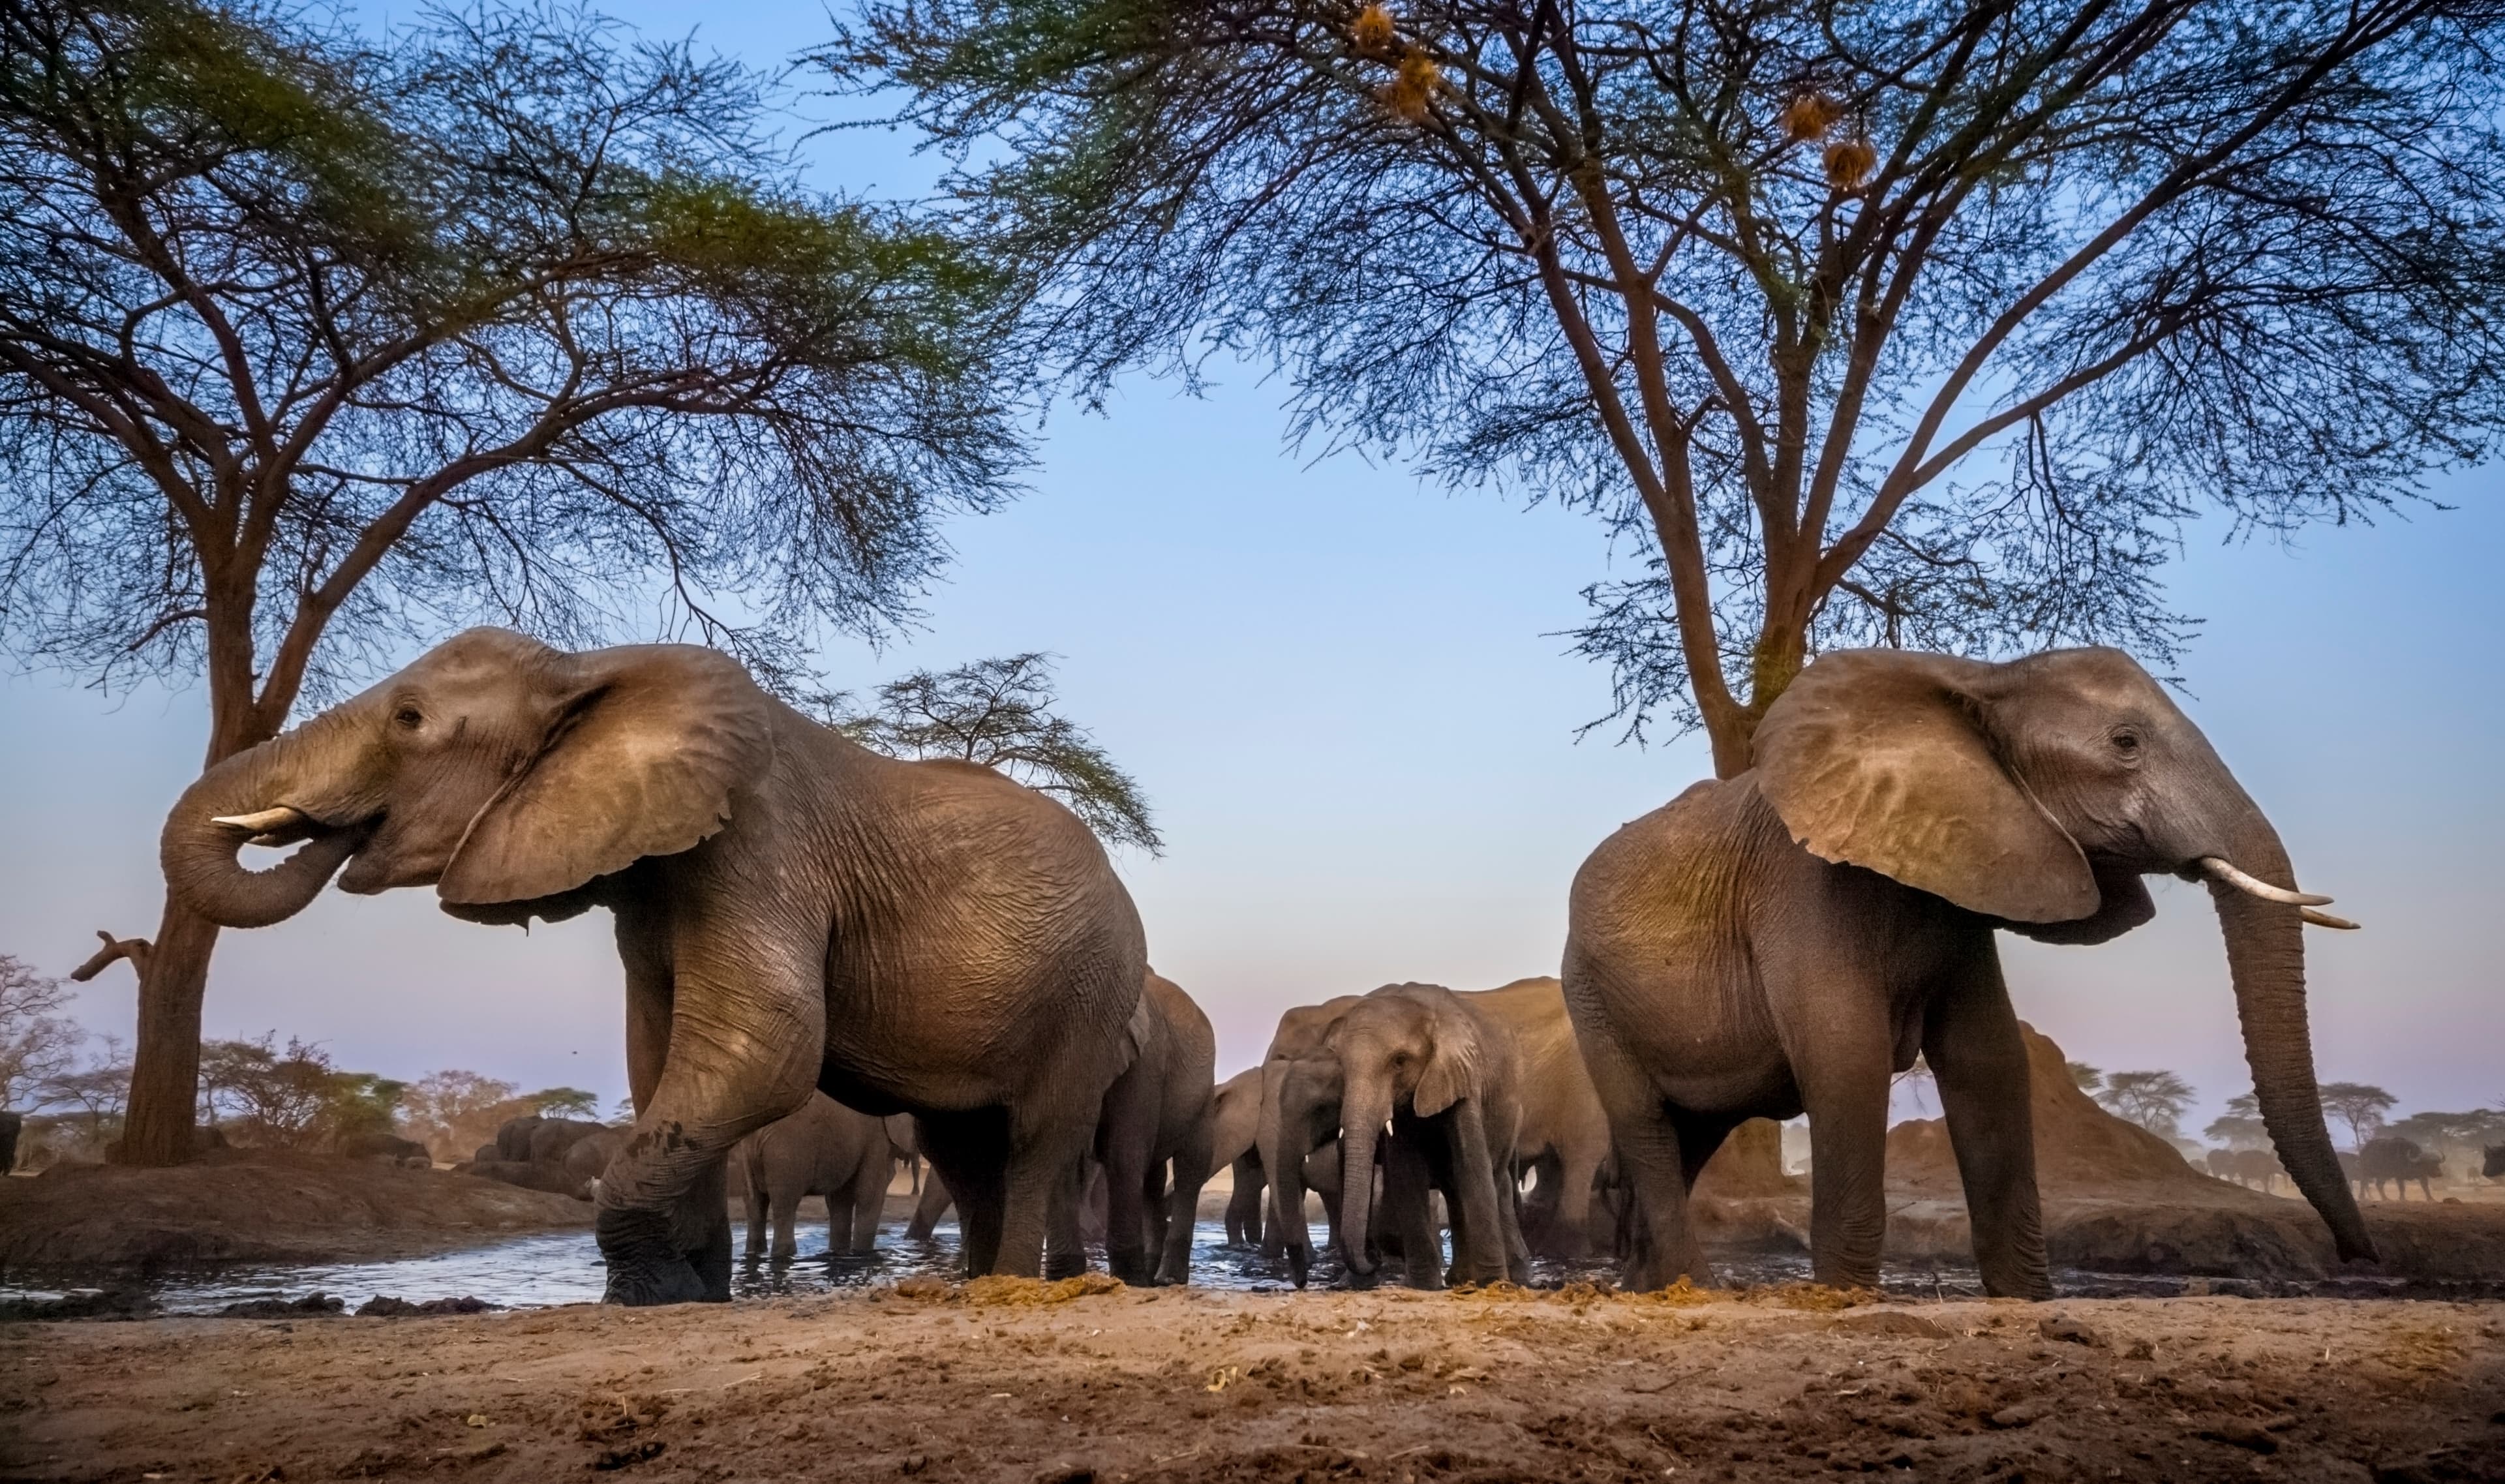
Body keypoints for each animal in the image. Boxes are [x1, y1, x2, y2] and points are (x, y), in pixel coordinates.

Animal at [733, 1092, 897, 1260]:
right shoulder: (876, 1139)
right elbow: (870, 1195)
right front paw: (862, 1254)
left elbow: (841, 1199)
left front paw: (840, 1254)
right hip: (786, 1152)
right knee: (786, 1204)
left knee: (755, 1205)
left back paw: (754, 1253)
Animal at [1089, 970, 1218, 1284]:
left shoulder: (1145, 1063)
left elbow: (1124, 1155)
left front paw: (1130, 1280)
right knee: (1154, 1176)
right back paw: (1152, 1273)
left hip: (1204, 1093)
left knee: (1190, 1169)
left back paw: (1168, 1279)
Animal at [1262, 982, 1530, 1290]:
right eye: (1342, 1068)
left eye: (1400, 1061)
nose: (1301, 1282)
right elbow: (1406, 1171)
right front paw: (1423, 1286)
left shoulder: (1462, 1077)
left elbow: (1471, 1166)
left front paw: (1494, 1285)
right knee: (1456, 1191)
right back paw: (1458, 1278)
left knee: (1491, 1182)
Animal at [1562, 646, 2373, 1299]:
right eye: (2126, 743)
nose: (2357, 1256)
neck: (1983, 678)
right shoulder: (1804, 886)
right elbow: (1846, 1057)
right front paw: (1845, 1298)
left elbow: (1990, 1061)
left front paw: (2027, 1299)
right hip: (1589, 992)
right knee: (1647, 1124)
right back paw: (1688, 1286)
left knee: (1690, 1132)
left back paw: (1645, 1283)